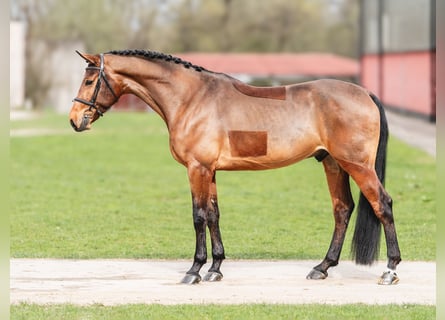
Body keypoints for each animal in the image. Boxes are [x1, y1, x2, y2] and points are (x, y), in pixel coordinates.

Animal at [68, 50, 398, 284]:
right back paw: (322, 267)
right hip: (333, 164)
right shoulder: (210, 171)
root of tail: (364, 93)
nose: (74, 120)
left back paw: (390, 270)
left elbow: (198, 216)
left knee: (383, 205)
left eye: (89, 81)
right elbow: (214, 215)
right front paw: (215, 268)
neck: (190, 98)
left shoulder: (197, 169)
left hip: (357, 165)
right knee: (342, 210)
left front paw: (194, 270)